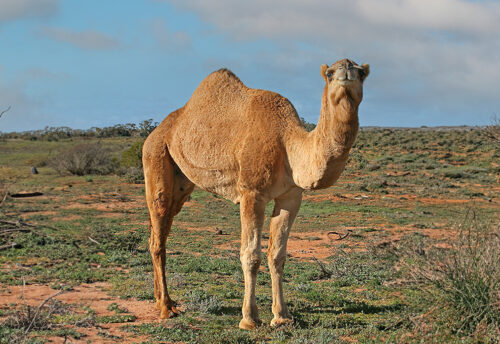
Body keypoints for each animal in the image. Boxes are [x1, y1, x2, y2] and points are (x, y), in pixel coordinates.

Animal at [143, 57, 370, 330]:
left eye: (362, 72)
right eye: (329, 73)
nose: (346, 71)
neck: (288, 143)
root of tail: (155, 132)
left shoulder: (291, 197)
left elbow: (278, 255)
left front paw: (282, 316)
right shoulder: (252, 193)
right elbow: (250, 255)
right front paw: (249, 318)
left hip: (182, 182)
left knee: (160, 233)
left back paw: (162, 300)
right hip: (156, 156)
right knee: (158, 230)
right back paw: (166, 308)